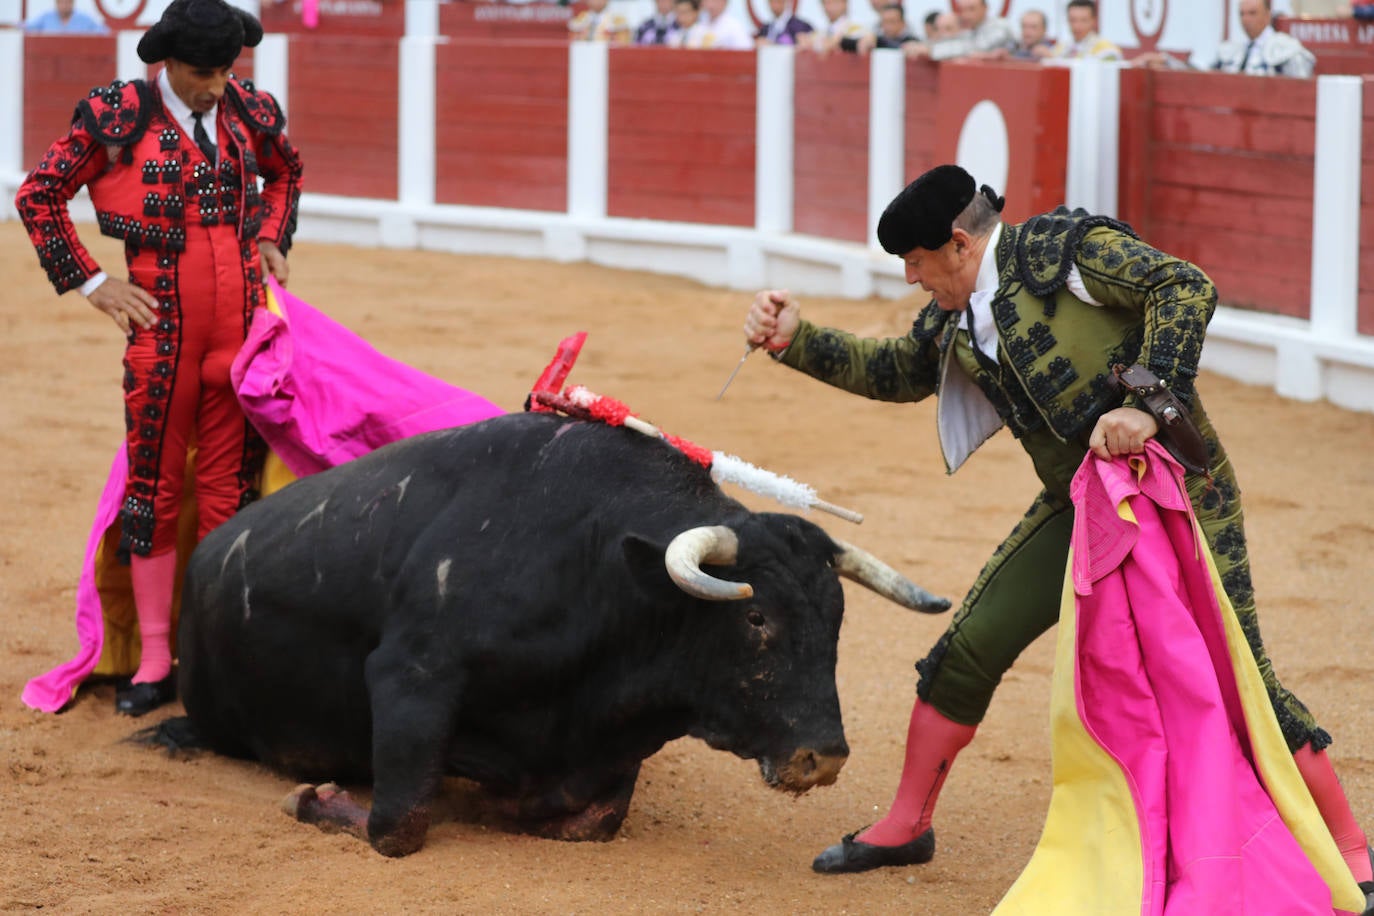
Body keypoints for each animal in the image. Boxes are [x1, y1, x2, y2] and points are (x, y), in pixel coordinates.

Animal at [169, 411, 945, 856]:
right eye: (756, 617)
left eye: (837, 619)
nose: (824, 758)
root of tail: (207, 552)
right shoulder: (412, 675)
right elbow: (398, 825)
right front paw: (311, 799)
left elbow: (590, 820)